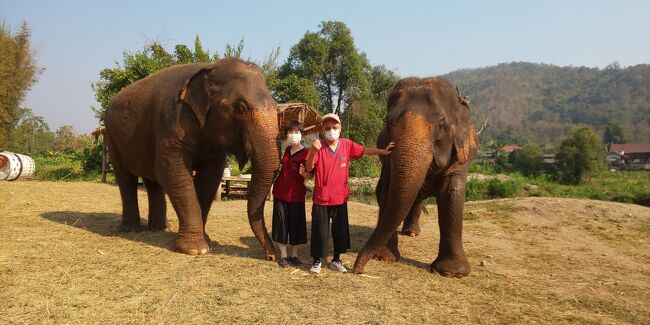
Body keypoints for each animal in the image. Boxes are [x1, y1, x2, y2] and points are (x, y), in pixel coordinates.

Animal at [104, 57, 278, 256]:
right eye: (241, 109)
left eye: (276, 106)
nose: (271, 256)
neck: (210, 67)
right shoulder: (172, 122)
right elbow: (172, 171)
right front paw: (196, 250)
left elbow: (210, 178)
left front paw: (206, 241)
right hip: (111, 136)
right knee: (126, 178)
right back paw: (131, 230)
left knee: (152, 180)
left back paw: (160, 228)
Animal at [352, 76, 478, 276]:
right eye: (387, 122)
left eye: (441, 125)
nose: (358, 269)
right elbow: (386, 191)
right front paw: (384, 257)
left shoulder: (460, 156)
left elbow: (452, 193)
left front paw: (452, 272)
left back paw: (412, 233)